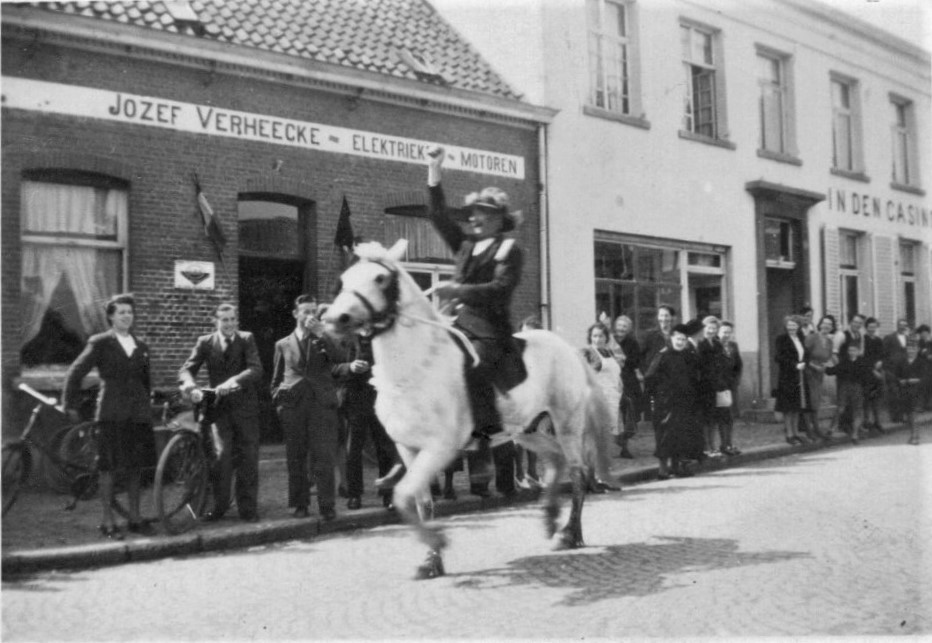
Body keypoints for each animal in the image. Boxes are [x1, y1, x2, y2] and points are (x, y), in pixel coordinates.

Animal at [324, 240, 616, 580]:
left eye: (380, 278)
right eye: (344, 279)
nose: (336, 319)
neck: (416, 366)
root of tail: (568, 348)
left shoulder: (440, 447)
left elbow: (403, 496)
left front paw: (437, 542)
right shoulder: (408, 447)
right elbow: (421, 502)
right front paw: (431, 560)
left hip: (567, 421)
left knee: (578, 472)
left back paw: (570, 533)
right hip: (526, 429)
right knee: (555, 460)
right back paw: (549, 517)